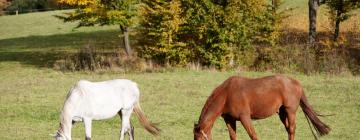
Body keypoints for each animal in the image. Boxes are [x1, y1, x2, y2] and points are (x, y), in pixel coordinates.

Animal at [194, 75, 332, 140]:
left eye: (199, 138)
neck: (227, 94)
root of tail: (296, 83)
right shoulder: (229, 119)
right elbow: (233, 136)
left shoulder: (245, 118)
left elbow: (253, 135)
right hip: (282, 113)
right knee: (288, 129)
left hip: (290, 111)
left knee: (292, 129)